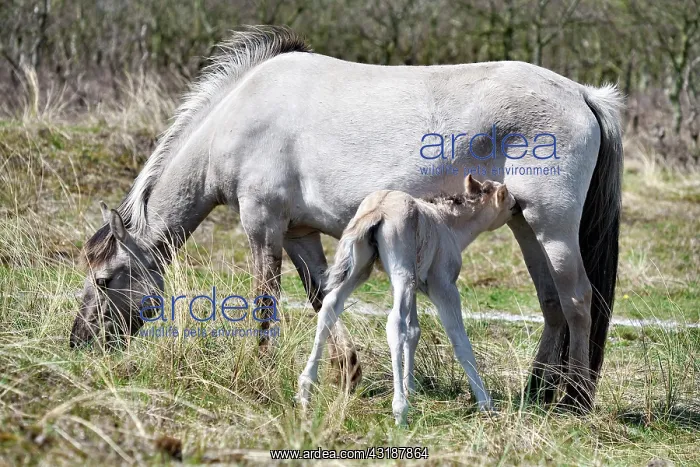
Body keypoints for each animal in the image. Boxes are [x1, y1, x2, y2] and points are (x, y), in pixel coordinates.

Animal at [297, 175, 517, 424]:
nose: (518, 208)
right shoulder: (444, 287)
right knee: (395, 324)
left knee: (331, 305)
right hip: (401, 273)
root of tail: (378, 208)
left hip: (364, 269)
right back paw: (400, 410)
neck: (448, 223)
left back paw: (305, 389)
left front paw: (410, 387)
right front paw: (486, 404)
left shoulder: (412, 287)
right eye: (510, 203)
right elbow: (460, 341)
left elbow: (413, 332)